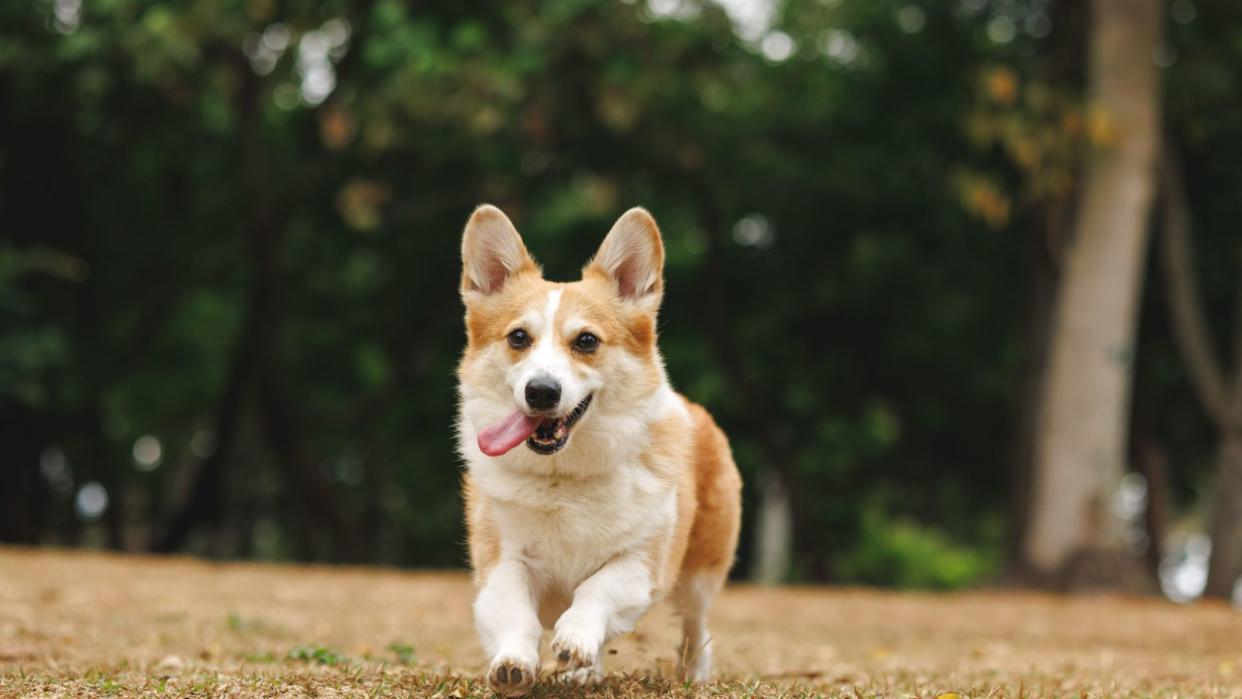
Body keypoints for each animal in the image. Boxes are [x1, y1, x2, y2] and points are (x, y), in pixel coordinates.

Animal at [459, 204, 740, 695]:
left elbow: (595, 589)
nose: (541, 391)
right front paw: (513, 662)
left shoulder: (642, 565)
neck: (563, 477)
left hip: (701, 575)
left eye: (586, 341)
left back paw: (691, 672)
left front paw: (575, 635)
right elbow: (515, 612)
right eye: (518, 338)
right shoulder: (502, 561)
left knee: (695, 624)